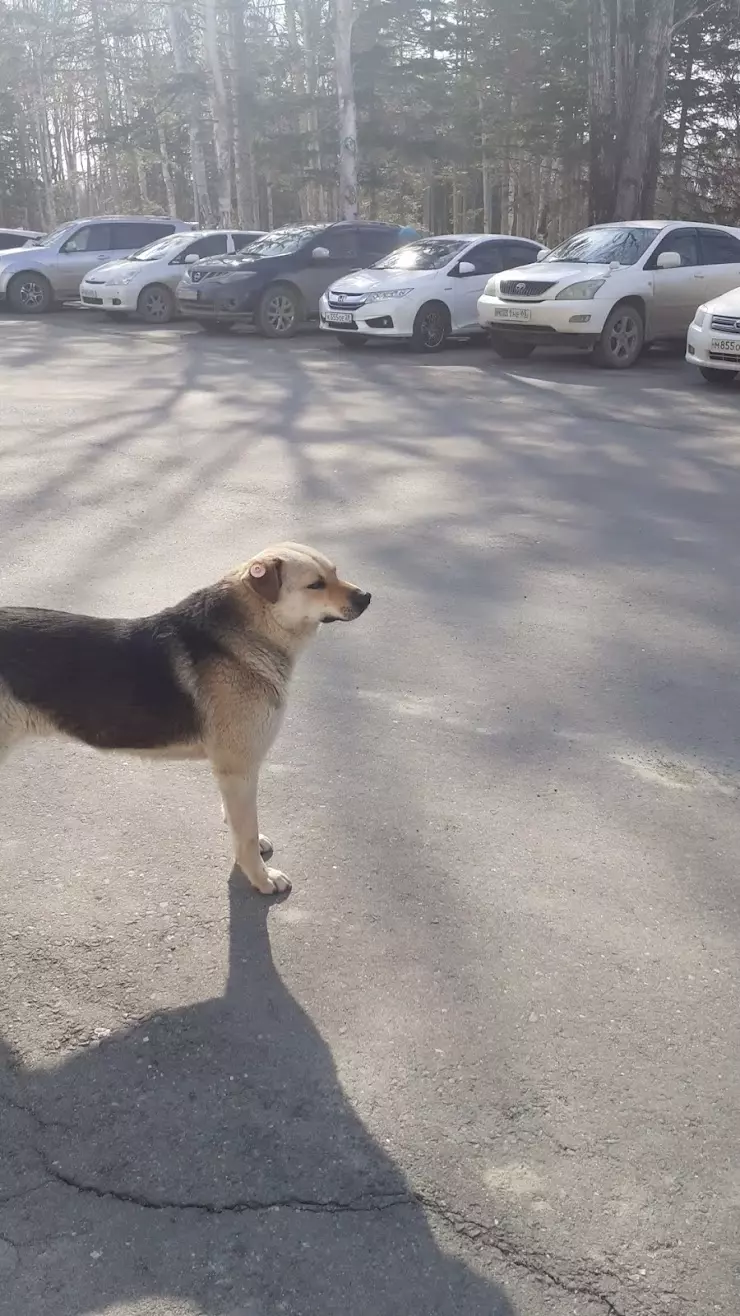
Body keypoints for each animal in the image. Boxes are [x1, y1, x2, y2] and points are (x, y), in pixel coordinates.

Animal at [0, 542, 368, 894]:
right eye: (315, 585)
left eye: (335, 572)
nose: (367, 597)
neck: (247, 634)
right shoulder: (239, 770)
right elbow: (246, 835)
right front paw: (261, 879)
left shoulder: (231, 773)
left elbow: (240, 824)